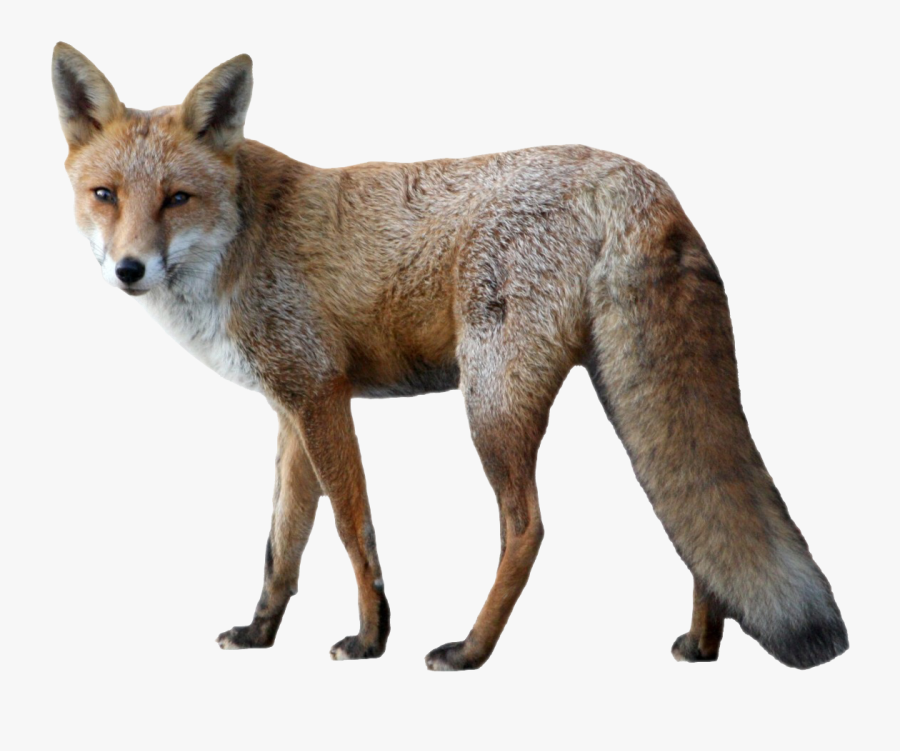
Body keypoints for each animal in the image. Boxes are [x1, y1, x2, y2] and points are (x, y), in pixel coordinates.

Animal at [52, 41, 848, 671]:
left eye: (177, 198)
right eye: (105, 195)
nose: (129, 269)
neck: (243, 242)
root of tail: (635, 179)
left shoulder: (320, 394)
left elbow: (352, 527)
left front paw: (371, 637)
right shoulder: (291, 409)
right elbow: (283, 543)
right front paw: (259, 633)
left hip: (492, 402)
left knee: (528, 529)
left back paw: (471, 649)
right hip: (625, 397)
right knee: (690, 519)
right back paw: (702, 643)